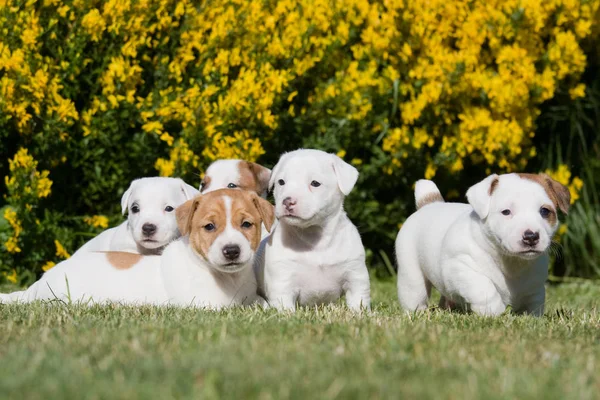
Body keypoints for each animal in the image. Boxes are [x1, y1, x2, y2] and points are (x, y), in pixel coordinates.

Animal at [1, 189, 274, 308]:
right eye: (209, 226)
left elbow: (260, 302)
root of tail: (35, 288)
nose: (232, 251)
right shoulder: (207, 305)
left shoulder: (249, 296)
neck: (229, 279)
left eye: (246, 224)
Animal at [396, 173, 568, 318]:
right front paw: (493, 311)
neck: (511, 262)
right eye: (506, 212)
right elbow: (483, 286)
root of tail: (430, 204)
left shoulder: (535, 286)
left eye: (545, 211)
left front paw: (531, 319)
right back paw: (417, 314)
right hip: (412, 277)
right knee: (414, 294)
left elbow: (534, 302)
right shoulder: (460, 266)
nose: (531, 236)